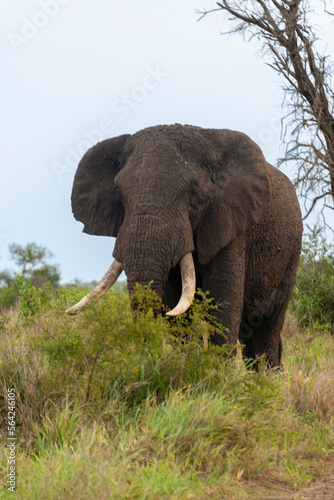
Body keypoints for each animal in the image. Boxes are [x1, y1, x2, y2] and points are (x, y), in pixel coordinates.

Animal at [68, 124, 302, 368]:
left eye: (194, 196)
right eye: (119, 194)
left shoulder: (232, 224)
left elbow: (223, 302)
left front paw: (220, 375)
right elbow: (177, 308)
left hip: (291, 253)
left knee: (268, 325)